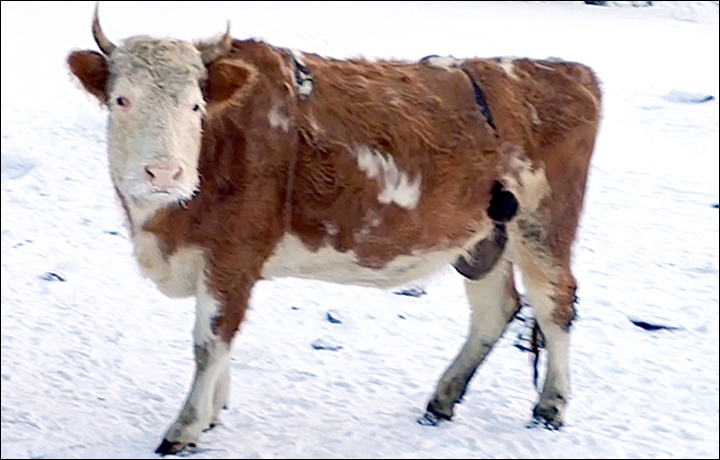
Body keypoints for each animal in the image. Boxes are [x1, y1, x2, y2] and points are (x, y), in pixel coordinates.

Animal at [67, 5, 600, 454]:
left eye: (195, 106)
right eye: (121, 99)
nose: (163, 173)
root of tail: (565, 70)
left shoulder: (234, 253)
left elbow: (210, 340)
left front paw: (185, 427)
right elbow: (222, 342)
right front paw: (213, 414)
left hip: (543, 225)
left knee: (555, 304)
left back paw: (550, 405)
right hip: (485, 235)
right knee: (495, 309)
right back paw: (443, 399)